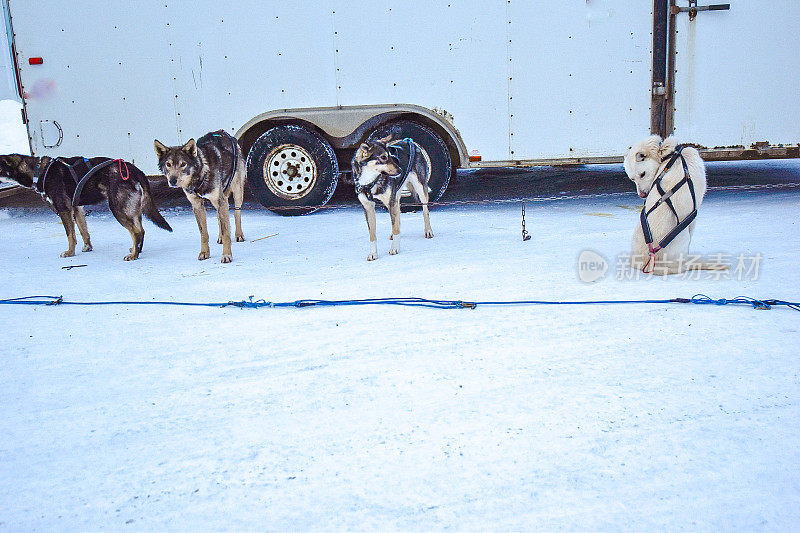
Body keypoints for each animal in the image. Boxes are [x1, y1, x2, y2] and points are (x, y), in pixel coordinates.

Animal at [620, 135, 728, 274]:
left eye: (642, 174)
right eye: (632, 179)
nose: (642, 195)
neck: (669, 155)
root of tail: (650, 260)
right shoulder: (693, 215)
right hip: (684, 235)